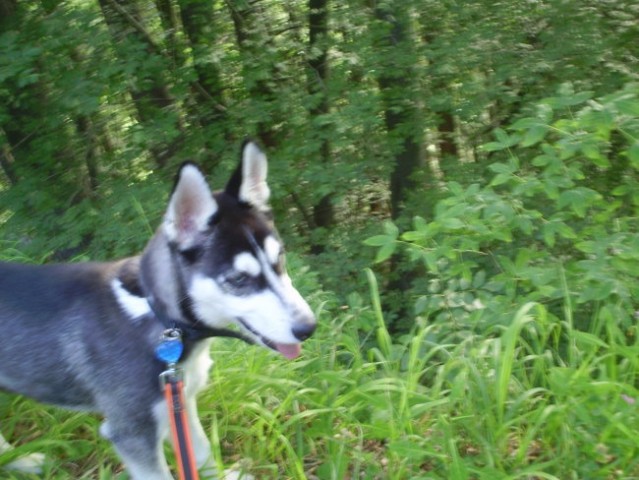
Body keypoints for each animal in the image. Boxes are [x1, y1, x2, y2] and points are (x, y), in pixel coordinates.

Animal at [0, 141, 316, 478]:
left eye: (279, 259)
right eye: (238, 279)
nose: (308, 328)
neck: (159, 318)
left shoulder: (180, 401)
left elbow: (201, 453)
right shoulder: (133, 433)